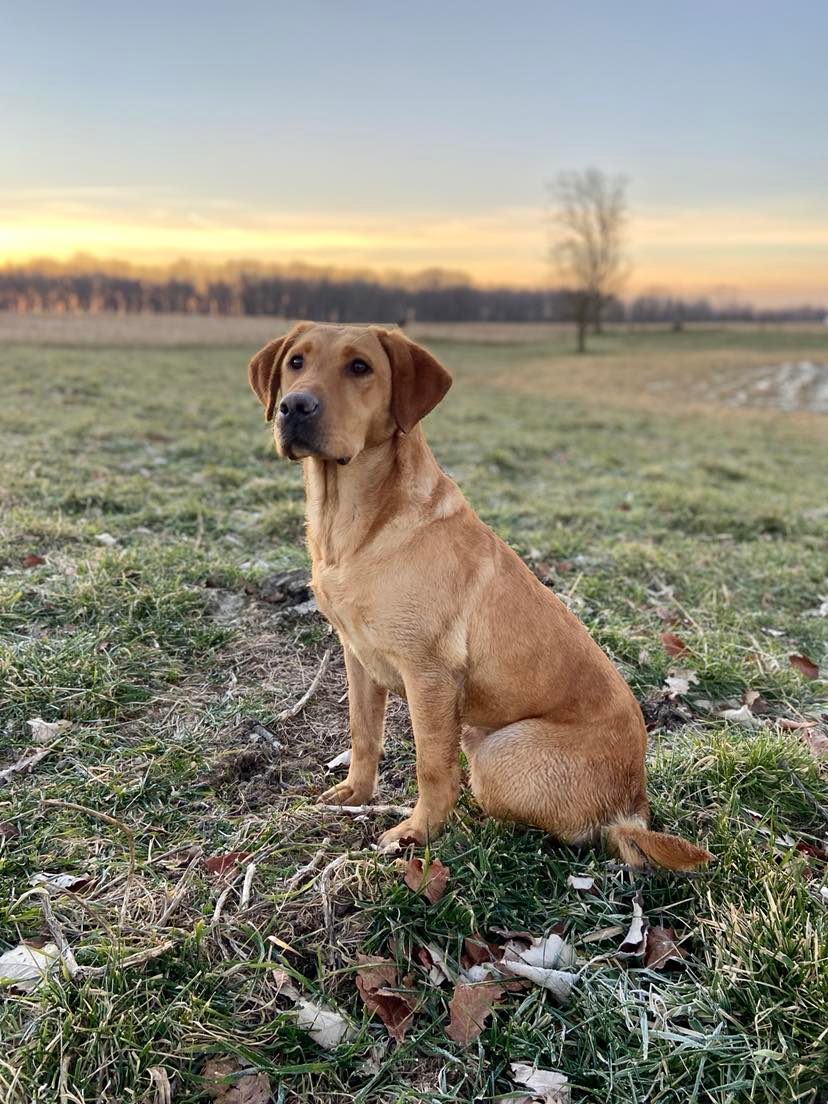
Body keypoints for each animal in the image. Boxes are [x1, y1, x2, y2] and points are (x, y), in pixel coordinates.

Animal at [251, 322, 715, 869]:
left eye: (360, 367)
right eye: (296, 362)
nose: (294, 406)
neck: (354, 524)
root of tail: (634, 808)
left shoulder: (429, 675)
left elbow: (432, 768)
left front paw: (417, 833)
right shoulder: (358, 657)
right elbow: (364, 735)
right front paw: (356, 794)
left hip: (498, 752)